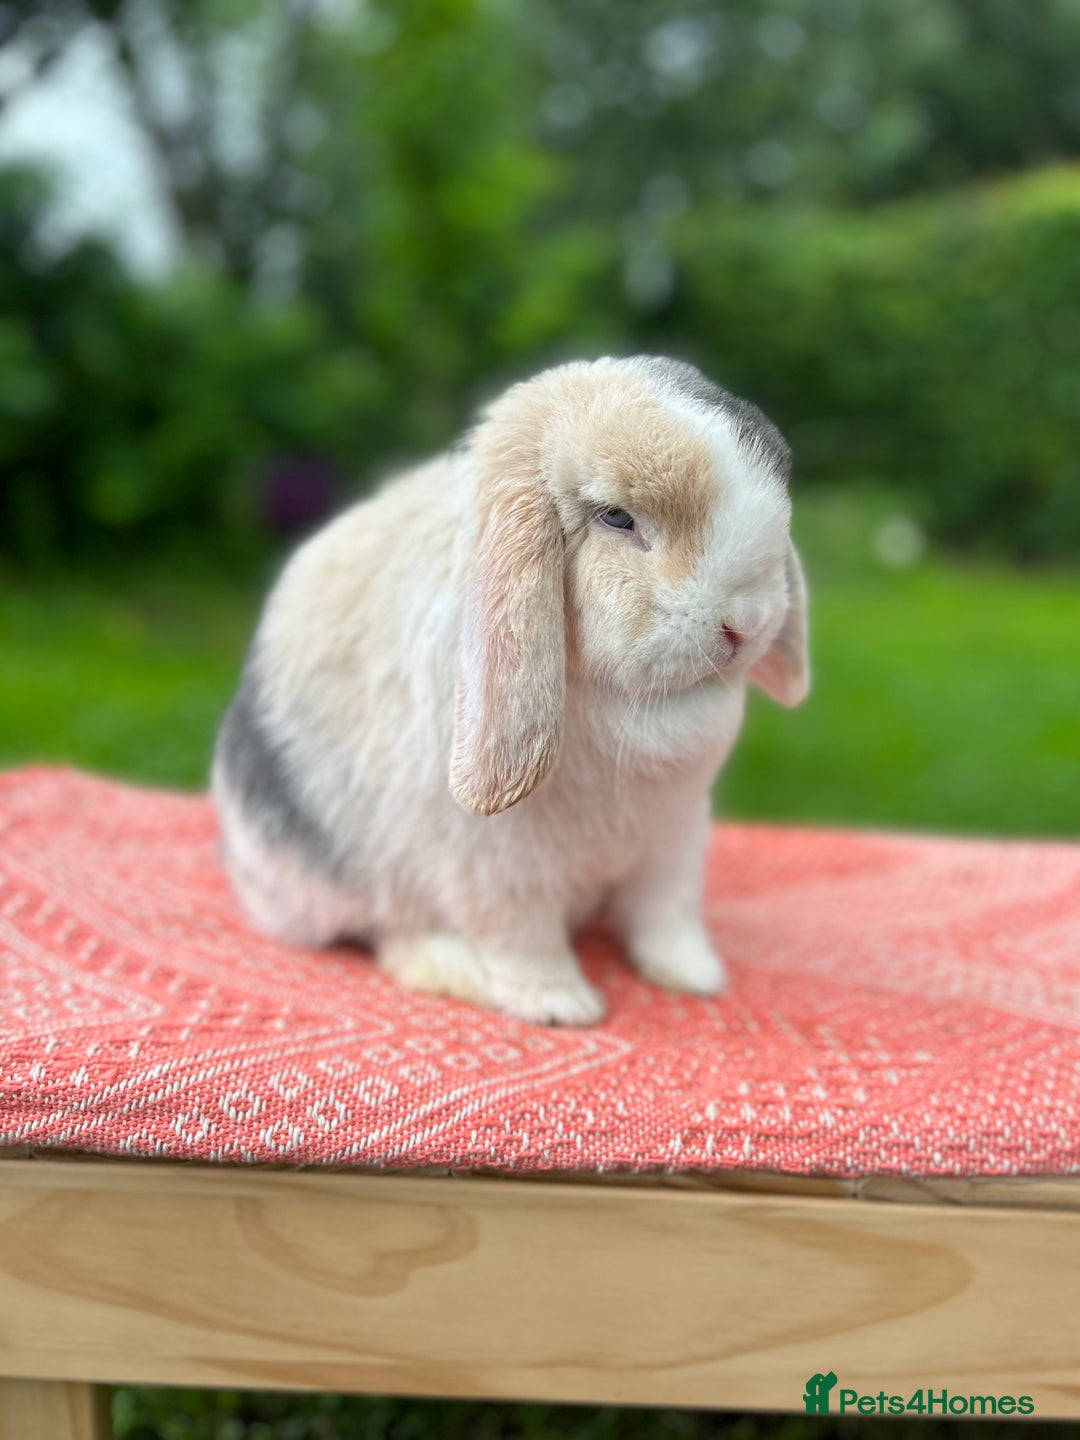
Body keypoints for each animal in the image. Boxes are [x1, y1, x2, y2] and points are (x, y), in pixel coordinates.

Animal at [212, 356, 809, 1026]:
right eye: (616, 517)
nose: (746, 624)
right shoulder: (499, 864)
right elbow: (522, 935)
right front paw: (560, 1006)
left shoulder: (674, 839)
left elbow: (667, 917)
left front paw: (693, 976)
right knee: (389, 929)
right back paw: (453, 969)